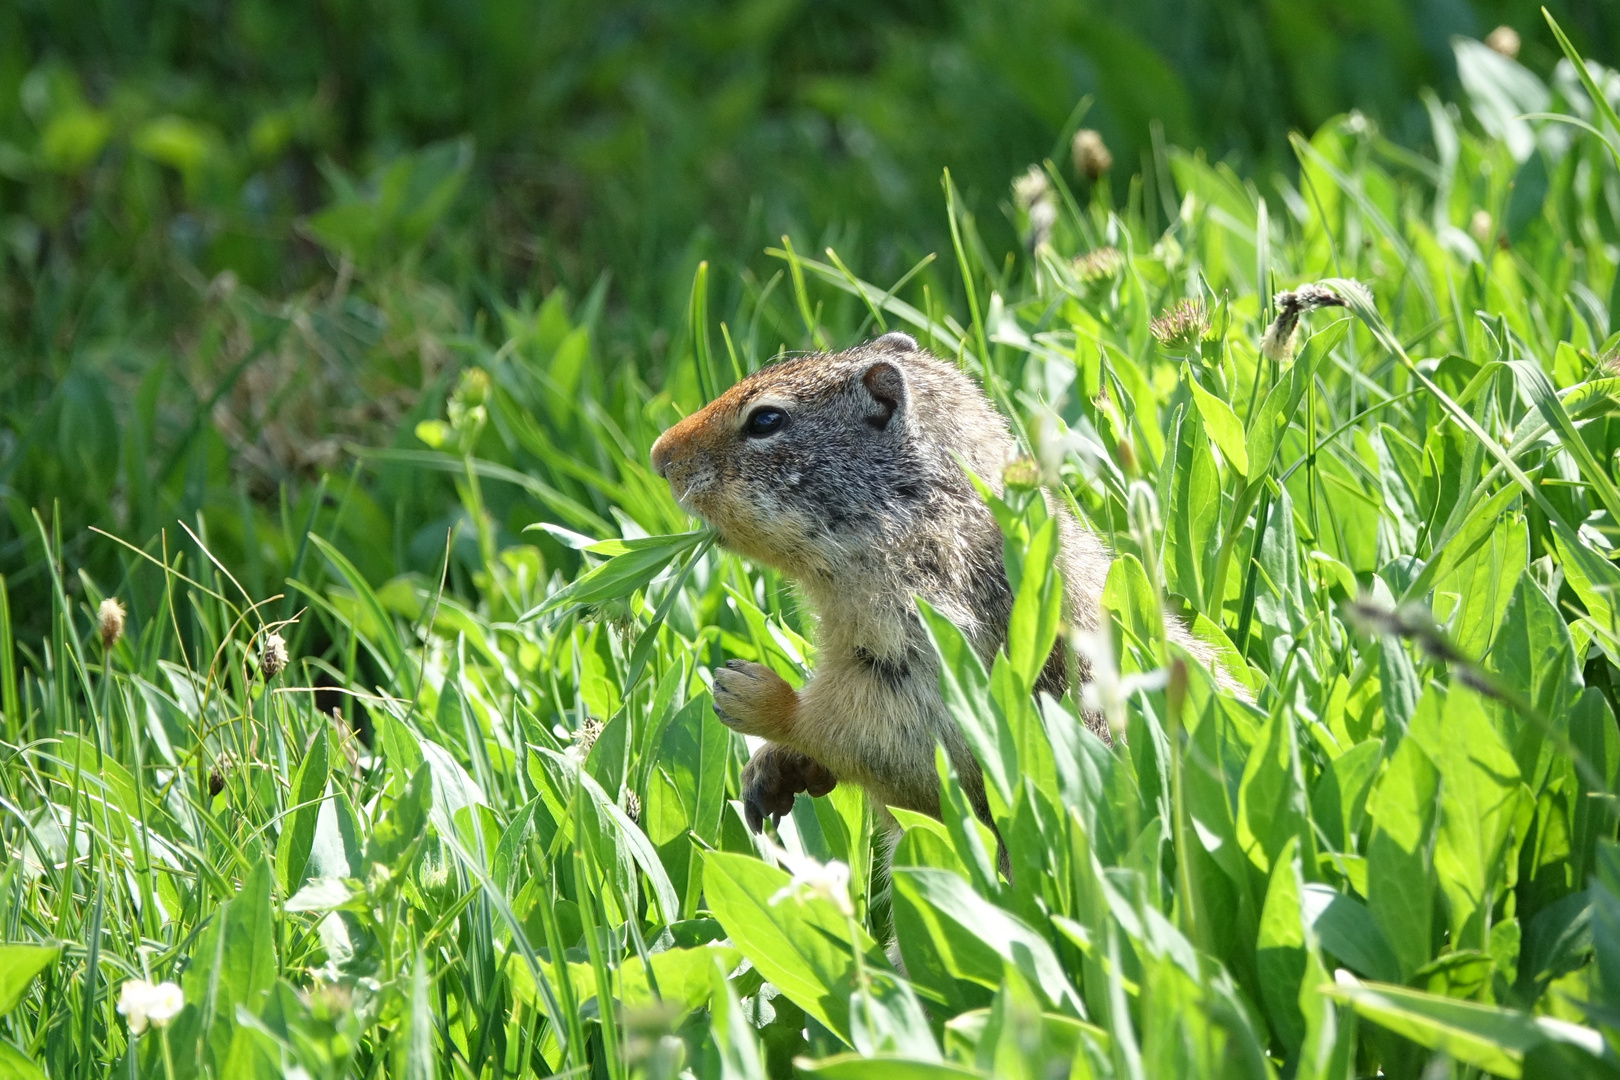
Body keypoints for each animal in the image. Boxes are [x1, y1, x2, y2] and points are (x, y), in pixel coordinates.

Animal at [644, 333, 1224, 835]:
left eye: (766, 419)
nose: (657, 455)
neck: (920, 510)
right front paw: (775, 770)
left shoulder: (925, 616)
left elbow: (900, 736)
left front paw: (754, 695)